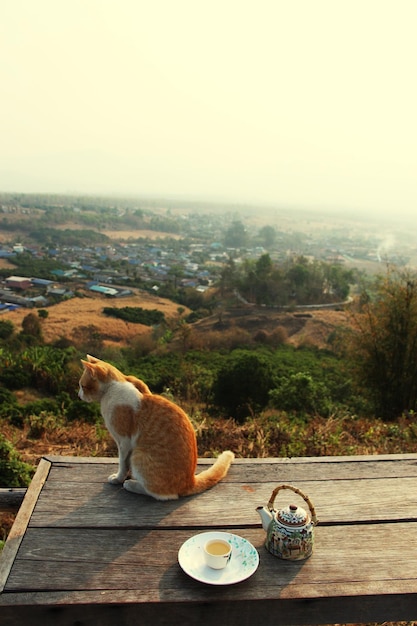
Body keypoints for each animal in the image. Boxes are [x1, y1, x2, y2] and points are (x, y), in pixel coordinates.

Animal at [78, 354, 234, 500]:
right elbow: (125, 464)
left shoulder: (123, 441)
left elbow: (122, 463)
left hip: (138, 455)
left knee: (163, 495)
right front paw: (126, 475)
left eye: (82, 386)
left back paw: (132, 485)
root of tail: (190, 482)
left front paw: (118, 478)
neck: (113, 387)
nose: (79, 395)